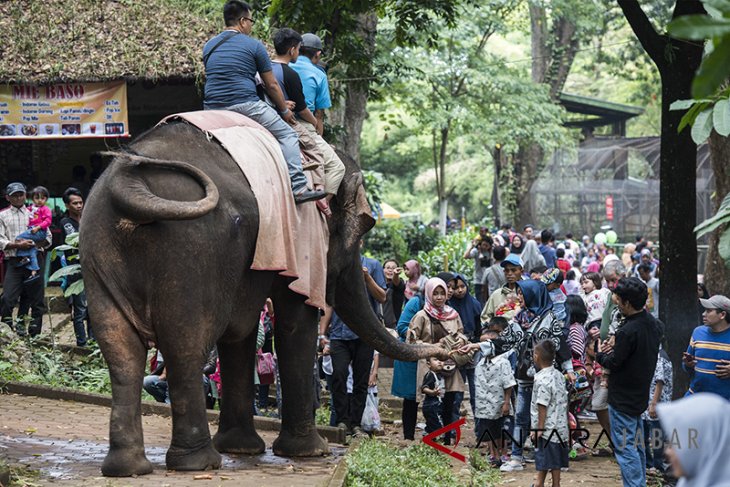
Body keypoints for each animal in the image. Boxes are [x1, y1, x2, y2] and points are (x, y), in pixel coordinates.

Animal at [79, 120, 444, 478]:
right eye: (363, 230)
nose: (445, 349)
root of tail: (128, 186)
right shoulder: (302, 237)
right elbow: (294, 322)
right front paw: (310, 452)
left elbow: (241, 331)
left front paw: (242, 449)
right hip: (190, 252)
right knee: (186, 347)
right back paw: (198, 463)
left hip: (98, 253)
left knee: (121, 353)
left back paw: (128, 469)